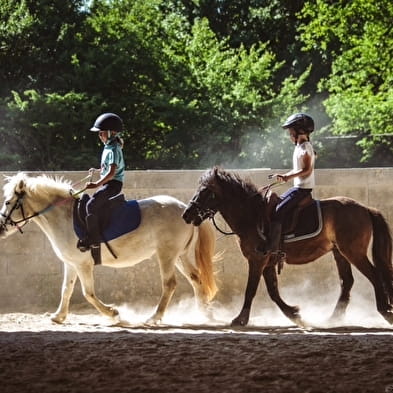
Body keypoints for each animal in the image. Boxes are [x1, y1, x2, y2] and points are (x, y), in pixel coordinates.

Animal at [0, 173, 217, 324]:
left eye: (8, 202)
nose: (1, 228)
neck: (65, 218)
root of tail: (184, 209)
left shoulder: (83, 265)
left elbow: (88, 293)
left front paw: (113, 313)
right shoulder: (71, 264)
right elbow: (66, 290)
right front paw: (58, 316)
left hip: (167, 255)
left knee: (170, 284)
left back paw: (154, 317)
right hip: (180, 256)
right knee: (196, 279)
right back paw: (204, 314)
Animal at [183, 165, 392, 324]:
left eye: (205, 192)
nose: (187, 214)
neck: (252, 216)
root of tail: (365, 208)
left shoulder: (257, 260)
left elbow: (251, 290)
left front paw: (240, 319)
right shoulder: (268, 262)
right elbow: (273, 291)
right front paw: (294, 313)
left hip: (353, 251)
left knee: (374, 275)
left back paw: (384, 310)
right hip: (340, 252)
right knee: (347, 282)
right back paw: (333, 318)